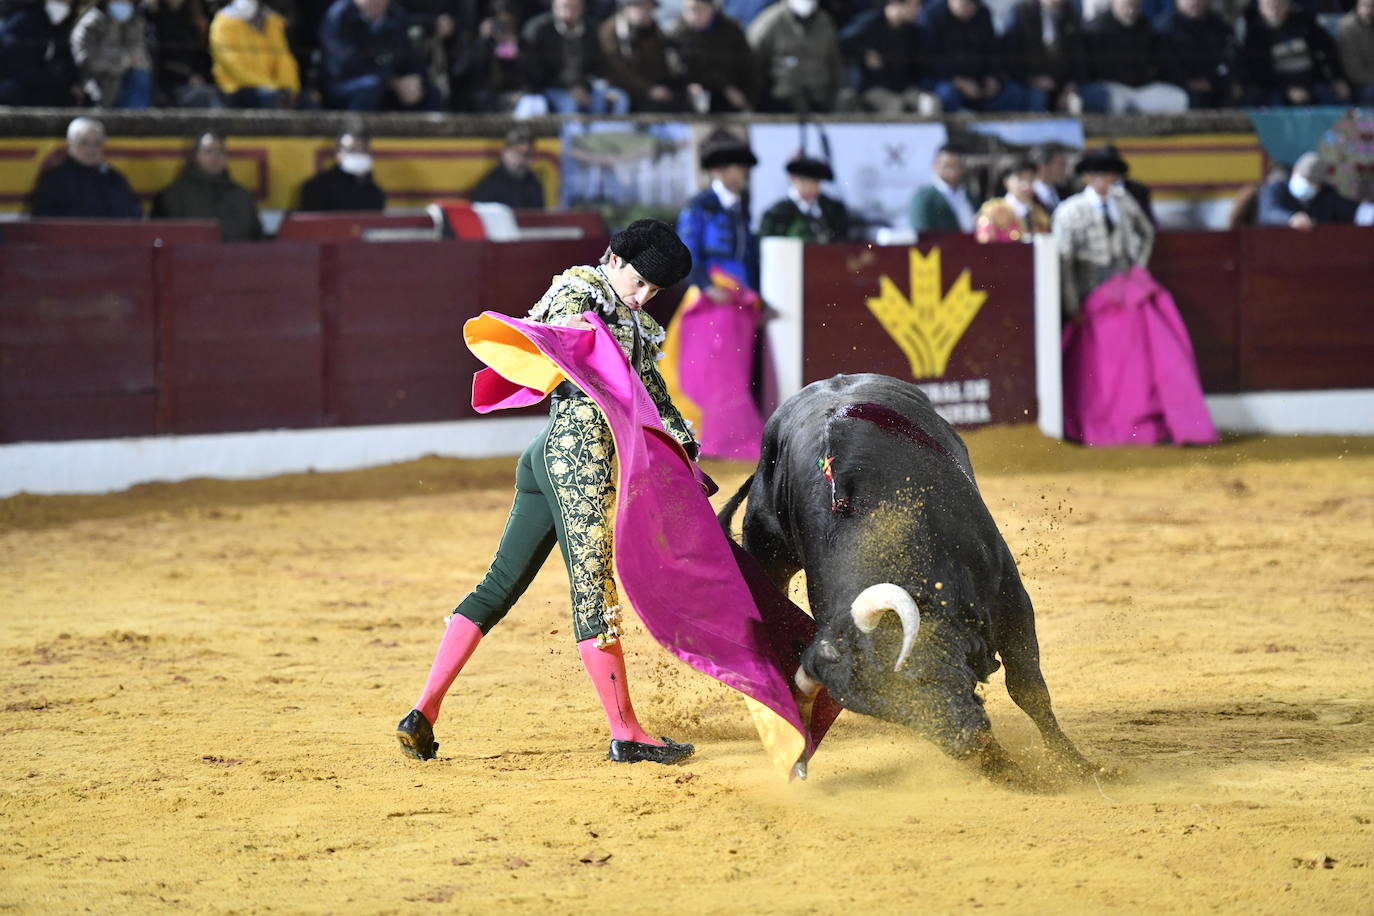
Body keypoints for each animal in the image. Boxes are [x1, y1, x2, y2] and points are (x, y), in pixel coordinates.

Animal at [719, 373, 1093, 780]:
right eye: (897, 715)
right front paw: (1005, 771)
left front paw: (1079, 764)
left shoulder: (1010, 596)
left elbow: (1027, 686)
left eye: (921, 677)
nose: (964, 743)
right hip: (766, 551)